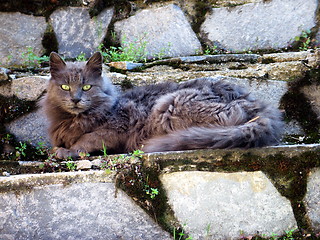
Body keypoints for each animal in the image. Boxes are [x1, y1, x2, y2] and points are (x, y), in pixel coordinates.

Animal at [40, 51, 282, 158]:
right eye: (65, 87)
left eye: (87, 86)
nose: (75, 99)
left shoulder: (116, 127)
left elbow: (87, 139)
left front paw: (67, 151)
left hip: (171, 103)